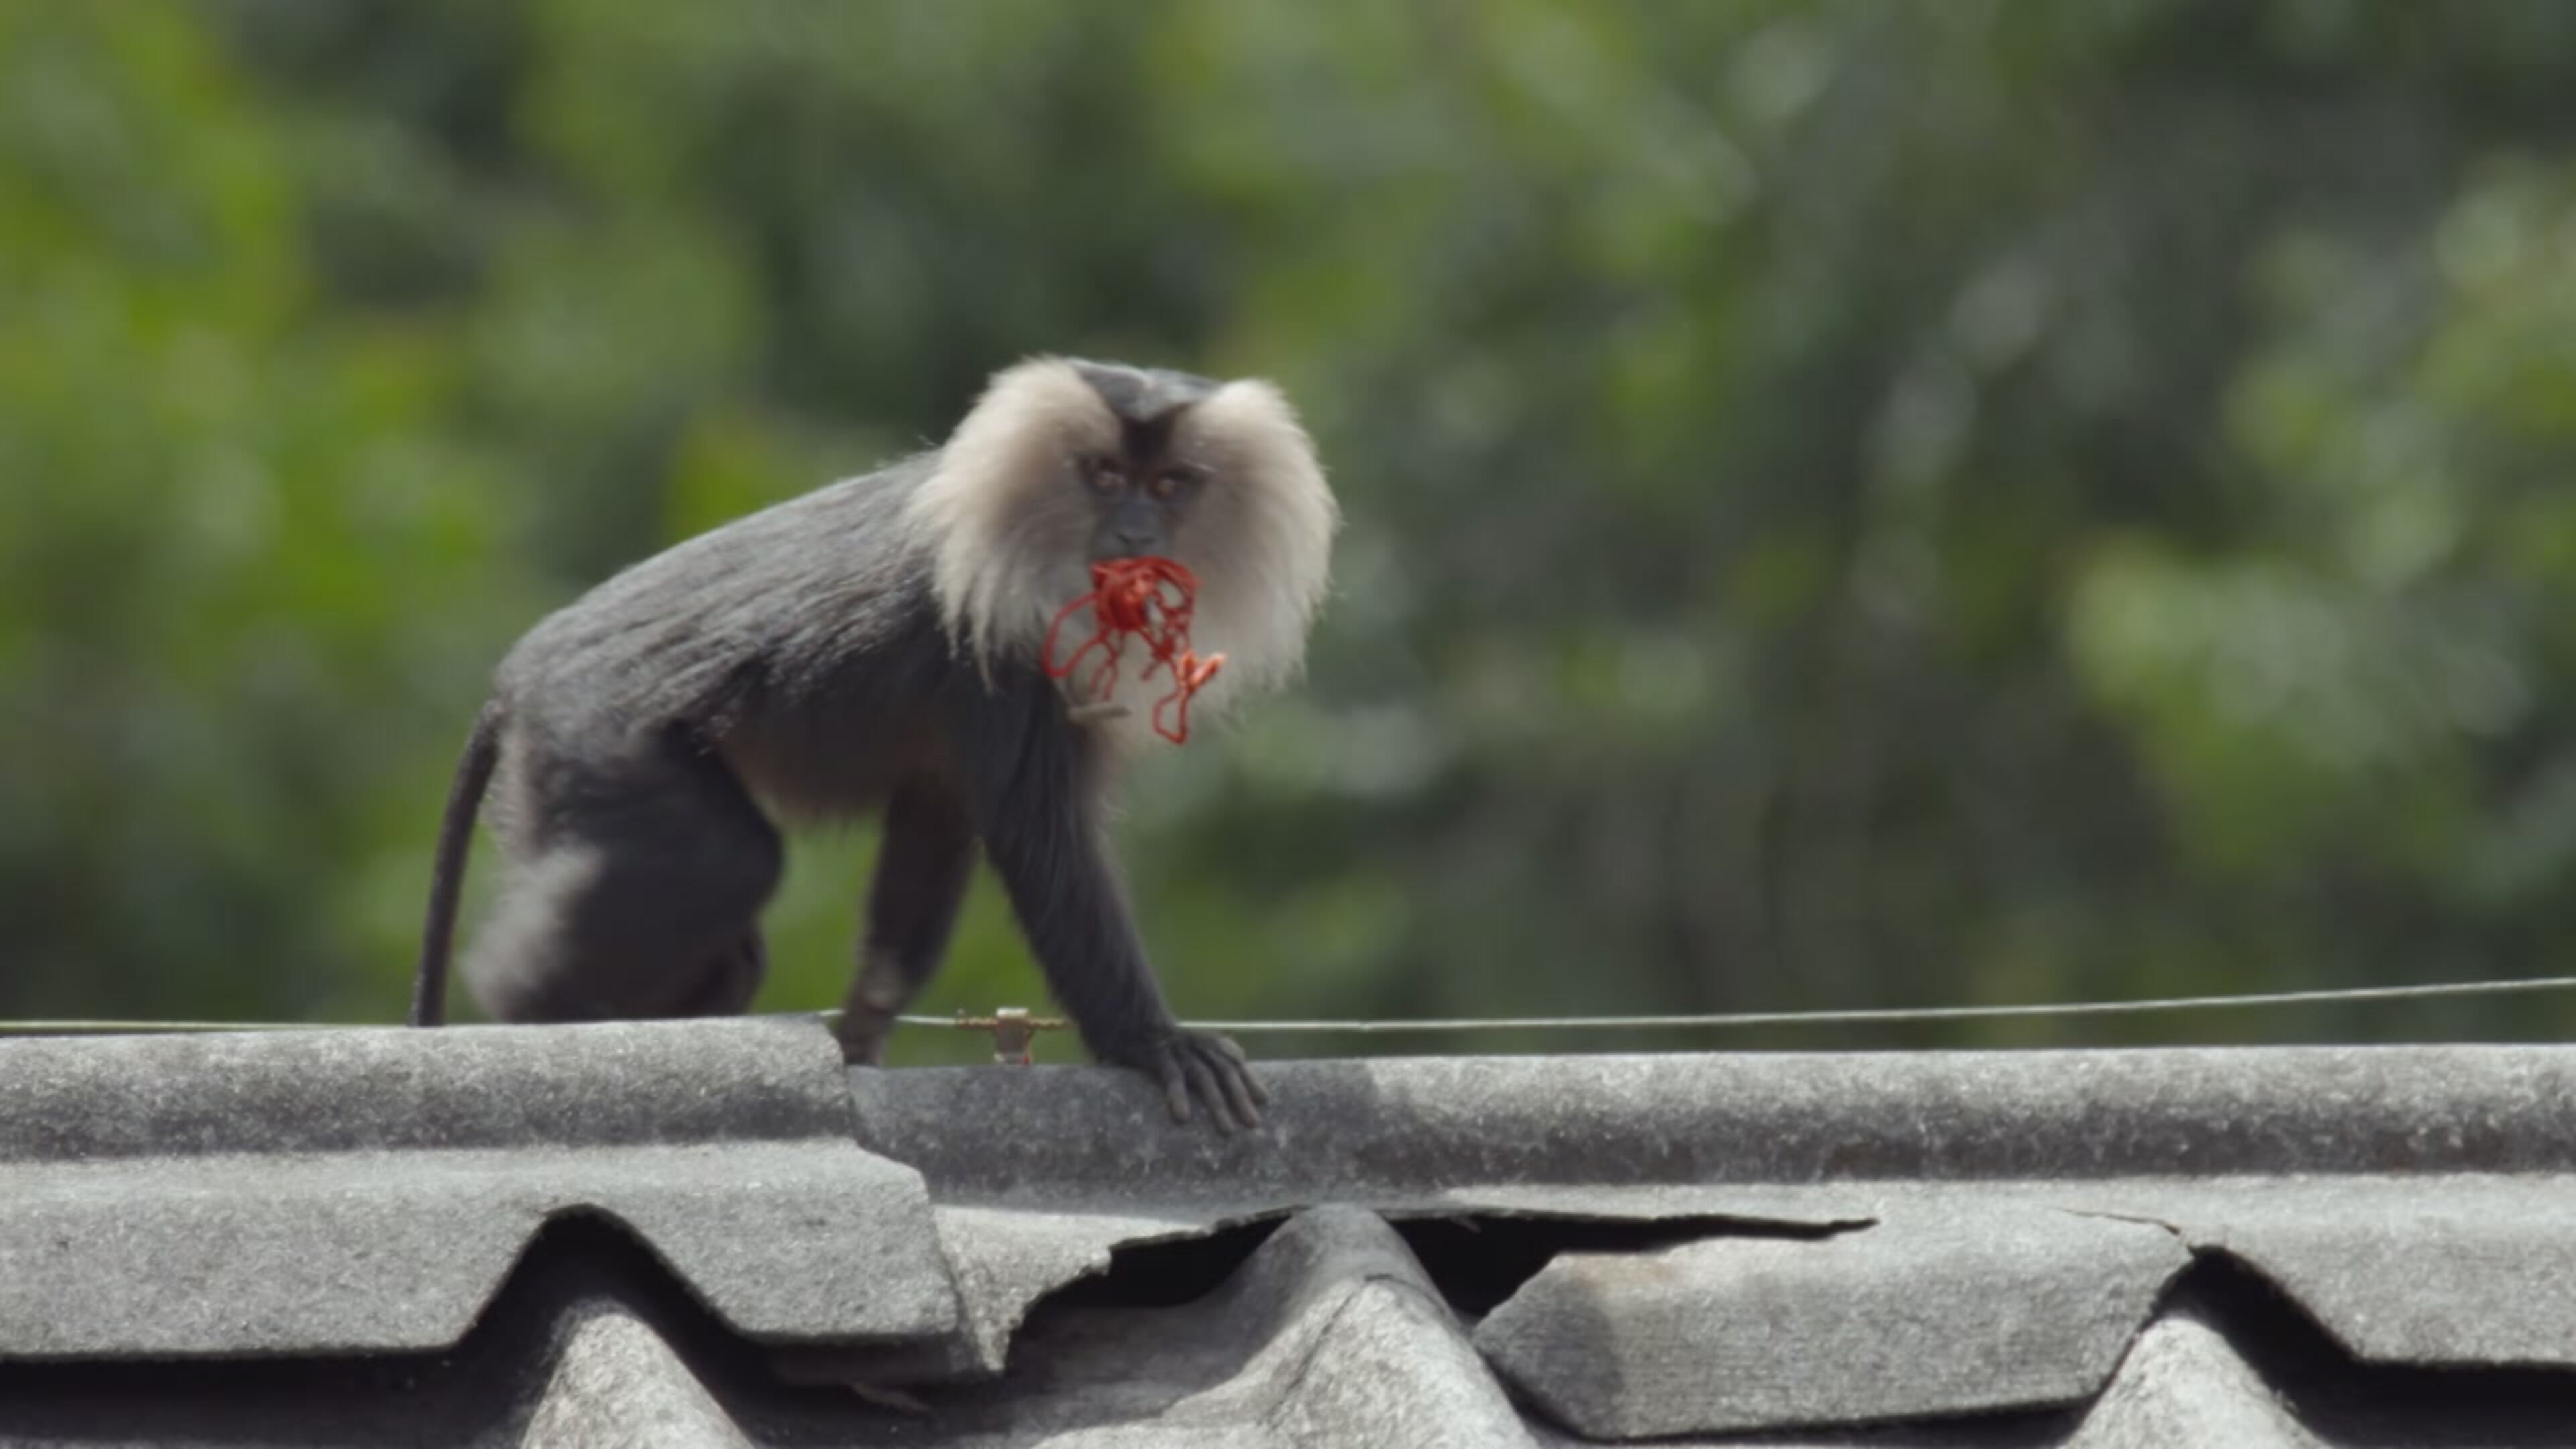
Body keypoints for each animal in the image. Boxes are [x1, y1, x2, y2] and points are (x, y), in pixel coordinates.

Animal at [409, 357, 1339, 1132]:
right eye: (1106, 478)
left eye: (1171, 484)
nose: (1137, 536)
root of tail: (519, 678)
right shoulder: (996, 644)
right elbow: (1043, 844)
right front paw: (1153, 1044)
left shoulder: (946, 771)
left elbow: (933, 838)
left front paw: (859, 1041)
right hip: (592, 735)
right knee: (727, 862)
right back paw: (518, 1015)